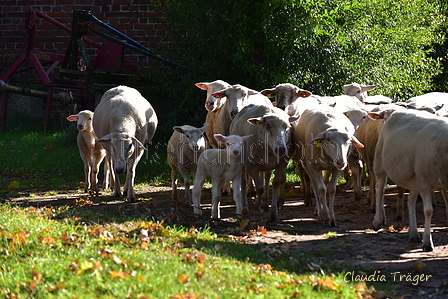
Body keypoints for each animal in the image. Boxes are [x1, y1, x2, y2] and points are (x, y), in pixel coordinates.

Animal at [372, 109, 448, 252]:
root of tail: (396, 111)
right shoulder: (424, 182)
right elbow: (428, 211)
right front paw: (427, 242)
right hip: (380, 163)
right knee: (379, 189)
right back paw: (377, 221)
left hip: (413, 176)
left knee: (410, 200)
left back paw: (413, 233)